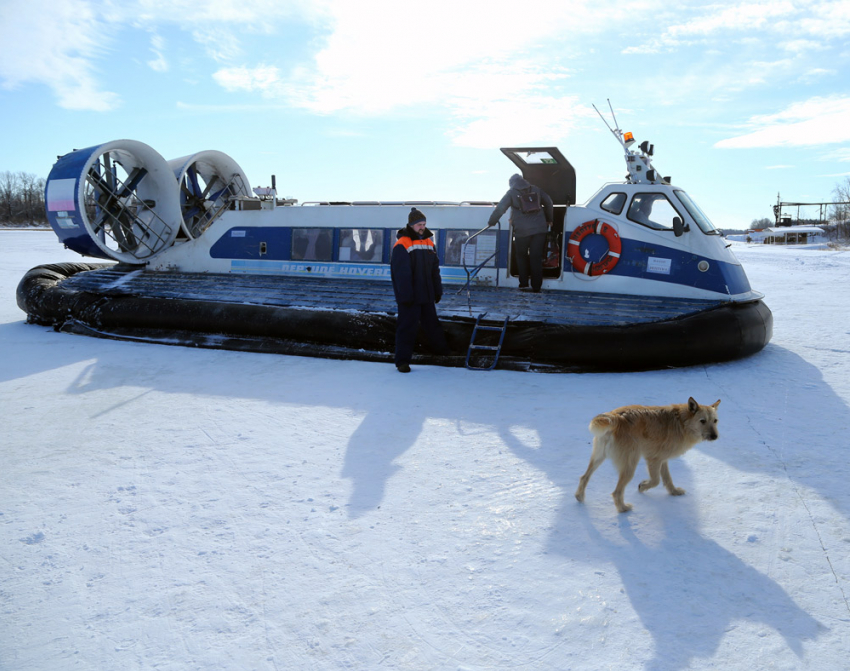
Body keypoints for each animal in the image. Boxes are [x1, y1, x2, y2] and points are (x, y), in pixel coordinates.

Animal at [572, 400, 720, 516]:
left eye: (715, 421)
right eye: (702, 421)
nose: (715, 436)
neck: (681, 422)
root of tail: (616, 417)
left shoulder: (662, 460)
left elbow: (667, 479)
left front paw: (674, 492)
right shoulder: (653, 459)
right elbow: (656, 481)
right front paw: (642, 486)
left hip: (598, 458)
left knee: (584, 477)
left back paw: (580, 497)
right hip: (630, 466)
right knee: (616, 492)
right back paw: (623, 509)